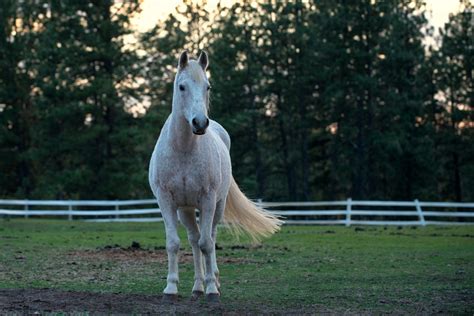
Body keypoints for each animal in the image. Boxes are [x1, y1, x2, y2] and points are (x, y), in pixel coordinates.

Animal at [149, 50, 282, 302]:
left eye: (207, 86)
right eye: (182, 86)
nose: (200, 123)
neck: (183, 149)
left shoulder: (208, 200)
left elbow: (207, 244)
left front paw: (212, 288)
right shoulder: (166, 201)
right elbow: (174, 243)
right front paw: (171, 288)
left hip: (216, 206)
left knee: (209, 236)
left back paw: (211, 283)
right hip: (186, 210)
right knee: (193, 239)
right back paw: (197, 286)